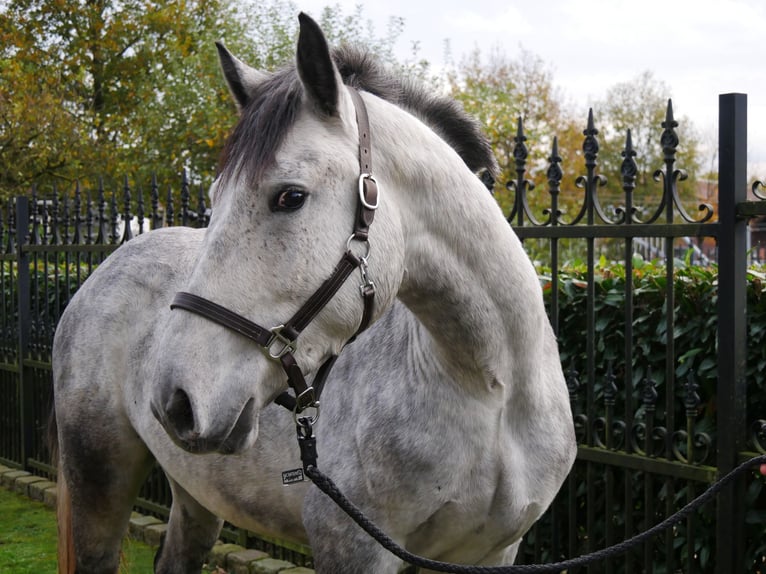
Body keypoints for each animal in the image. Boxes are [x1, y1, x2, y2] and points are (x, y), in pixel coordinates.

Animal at [49, 13, 576, 574]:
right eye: (214, 196)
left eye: (290, 197)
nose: (175, 399)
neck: (492, 390)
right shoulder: (355, 549)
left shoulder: (493, 553)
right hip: (98, 481)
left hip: (196, 495)